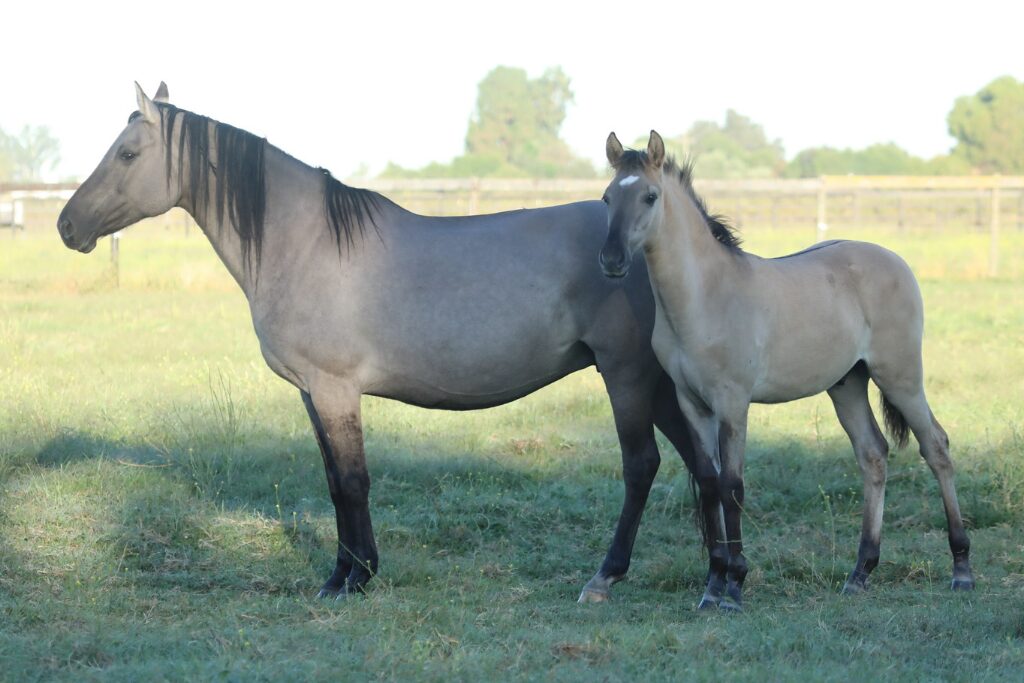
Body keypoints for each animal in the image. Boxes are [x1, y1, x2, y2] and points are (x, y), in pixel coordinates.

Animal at [56, 83, 719, 602]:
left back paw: (608, 576)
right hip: (657, 383)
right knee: (699, 459)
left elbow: (353, 481)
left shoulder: (335, 390)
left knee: (643, 465)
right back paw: (722, 572)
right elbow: (334, 481)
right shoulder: (312, 393)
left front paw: (353, 579)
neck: (305, 242)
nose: (67, 225)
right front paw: (344, 573)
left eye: (127, 153)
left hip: (627, 375)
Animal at [598, 130, 975, 610]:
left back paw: (961, 569)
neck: (705, 296)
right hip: (847, 384)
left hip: (901, 377)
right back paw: (860, 573)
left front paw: (734, 586)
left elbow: (732, 485)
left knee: (936, 448)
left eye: (650, 196)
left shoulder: (733, 402)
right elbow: (709, 482)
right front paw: (712, 586)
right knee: (872, 455)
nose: (611, 260)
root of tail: (895, 260)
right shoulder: (693, 403)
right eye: (607, 198)